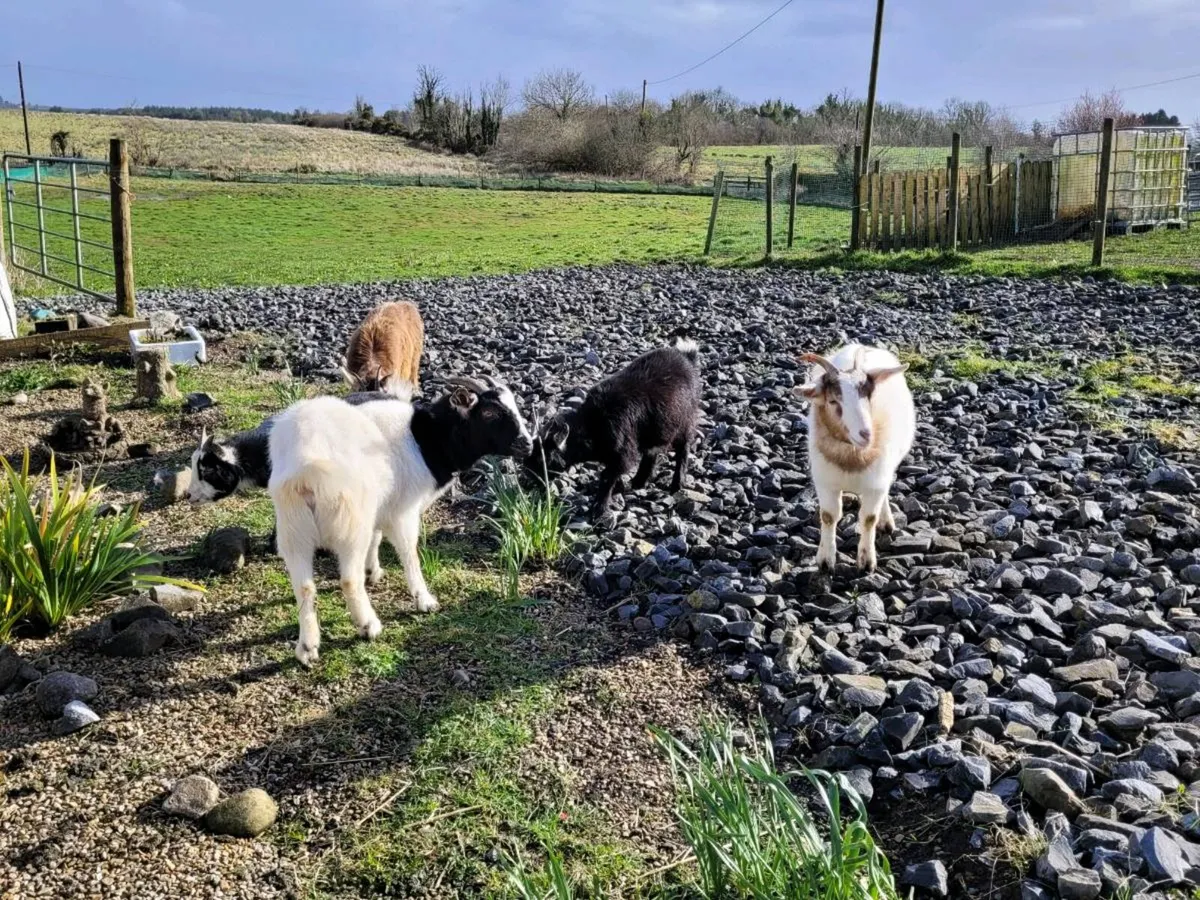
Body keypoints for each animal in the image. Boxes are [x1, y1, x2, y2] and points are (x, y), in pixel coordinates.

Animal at [268, 375, 532, 666]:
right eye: (489, 412)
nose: (528, 444)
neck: (427, 439)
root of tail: (306, 468)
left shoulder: (382, 505)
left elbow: (376, 538)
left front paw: (373, 571)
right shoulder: (403, 510)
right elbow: (408, 553)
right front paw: (425, 600)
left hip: (293, 526)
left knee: (304, 586)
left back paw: (307, 647)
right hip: (349, 522)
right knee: (348, 579)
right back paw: (369, 625)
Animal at [526, 337, 701, 518]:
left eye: (545, 460)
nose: (528, 483)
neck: (593, 423)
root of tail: (687, 356)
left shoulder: (623, 451)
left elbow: (607, 475)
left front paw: (599, 508)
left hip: (684, 421)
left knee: (683, 448)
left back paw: (676, 484)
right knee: (652, 451)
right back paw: (639, 481)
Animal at [795, 343, 914, 573]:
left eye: (868, 397)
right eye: (833, 400)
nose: (866, 434)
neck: (851, 459)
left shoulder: (875, 483)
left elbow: (868, 519)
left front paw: (866, 561)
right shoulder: (826, 482)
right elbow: (829, 517)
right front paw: (825, 560)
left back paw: (886, 521)